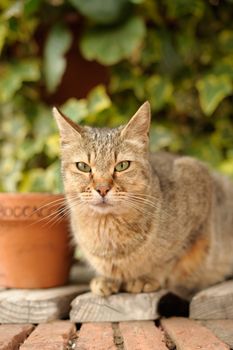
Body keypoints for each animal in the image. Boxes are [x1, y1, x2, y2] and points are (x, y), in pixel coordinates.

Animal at [52, 102, 233, 300]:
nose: (102, 189)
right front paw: (106, 279)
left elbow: (169, 261)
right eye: (83, 167)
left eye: (122, 165)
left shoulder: (196, 177)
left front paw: (147, 277)